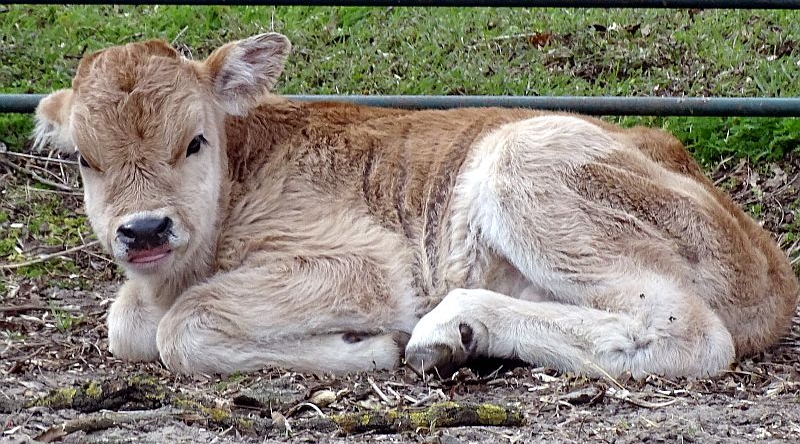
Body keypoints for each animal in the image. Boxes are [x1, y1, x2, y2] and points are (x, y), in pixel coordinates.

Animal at [32, 33, 800, 376]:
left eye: (194, 141)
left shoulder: (366, 263)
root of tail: (773, 270)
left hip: (526, 163)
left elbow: (178, 329)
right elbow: (128, 323)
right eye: (86, 160)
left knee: (688, 330)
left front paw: (363, 346)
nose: (144, 229)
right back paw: (456, 341)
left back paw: (452, 324)